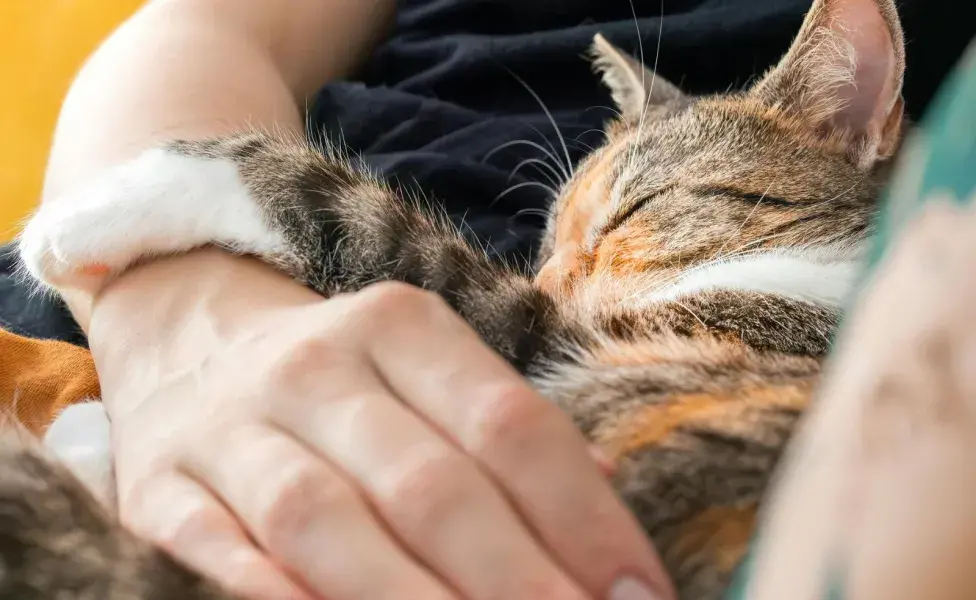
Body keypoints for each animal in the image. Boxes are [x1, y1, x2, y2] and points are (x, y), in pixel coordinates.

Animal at [5, 0, 908, 596]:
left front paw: (93, 213)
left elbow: (374, 227)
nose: (545, 276)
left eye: (632, 210)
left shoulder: (563, 338)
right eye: (545, 240)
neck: (819, 275)